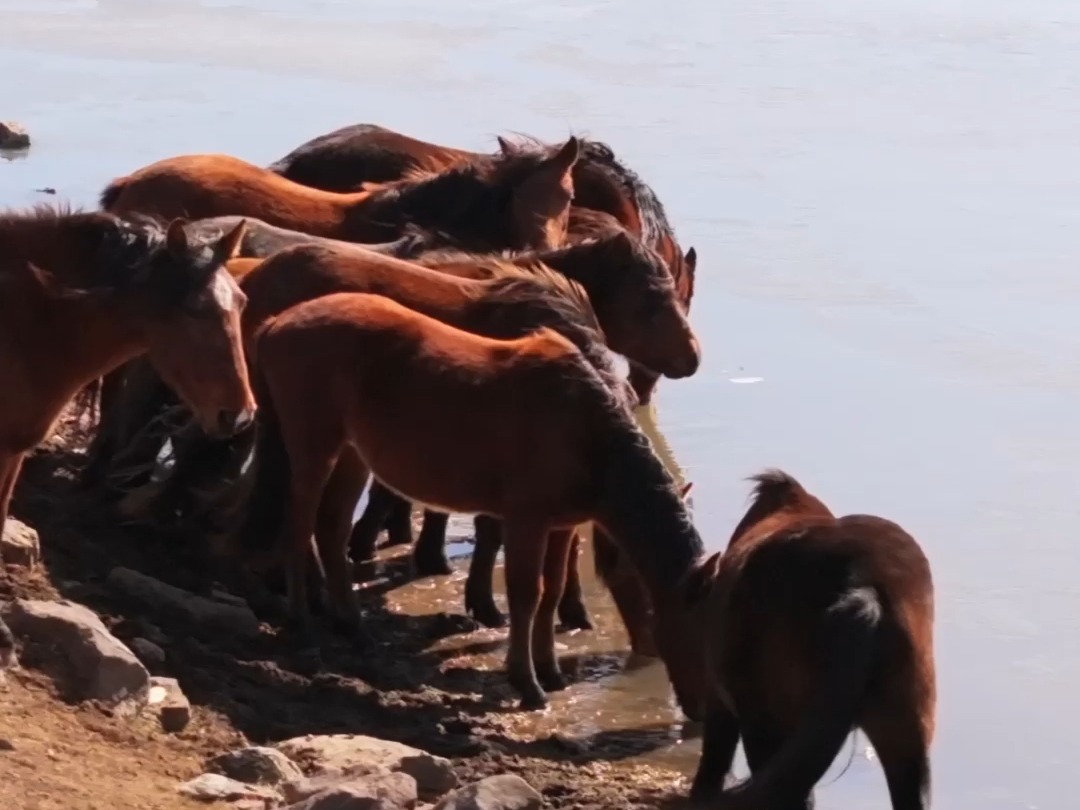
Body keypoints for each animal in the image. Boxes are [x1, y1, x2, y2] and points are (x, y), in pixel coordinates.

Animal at [249, 291, 704, 708]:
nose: (650, 655)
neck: (586, 432)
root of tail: (277, 322)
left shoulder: (560, 526)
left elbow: (552, 592)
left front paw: (550, 672)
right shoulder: (526, 522)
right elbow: (527, 595)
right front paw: (527, 682)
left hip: (351, 454)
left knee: (331, 527)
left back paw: (353, 626)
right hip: (315, 448)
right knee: (300, 526)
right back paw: (302, 622)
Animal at [665, 468, 937, 810]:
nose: (687, 704)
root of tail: (863, 591)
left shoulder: (724, 705)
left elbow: (715, 759)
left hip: (767, 723)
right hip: (905, 733)